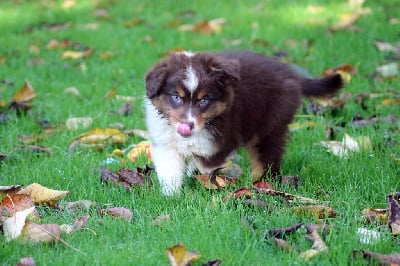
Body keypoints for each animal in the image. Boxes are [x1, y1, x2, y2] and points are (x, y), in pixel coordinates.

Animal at [145, 50, 344, 195]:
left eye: (204, 100)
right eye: (176, 97)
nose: (188, 125)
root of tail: (292, 74)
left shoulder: (222, 141)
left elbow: (205, 164)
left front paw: (208, 183)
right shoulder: (165, 143)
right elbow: (170, 169)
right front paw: (172, 195)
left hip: (270, 125)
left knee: (267, 157)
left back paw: (257, 182)